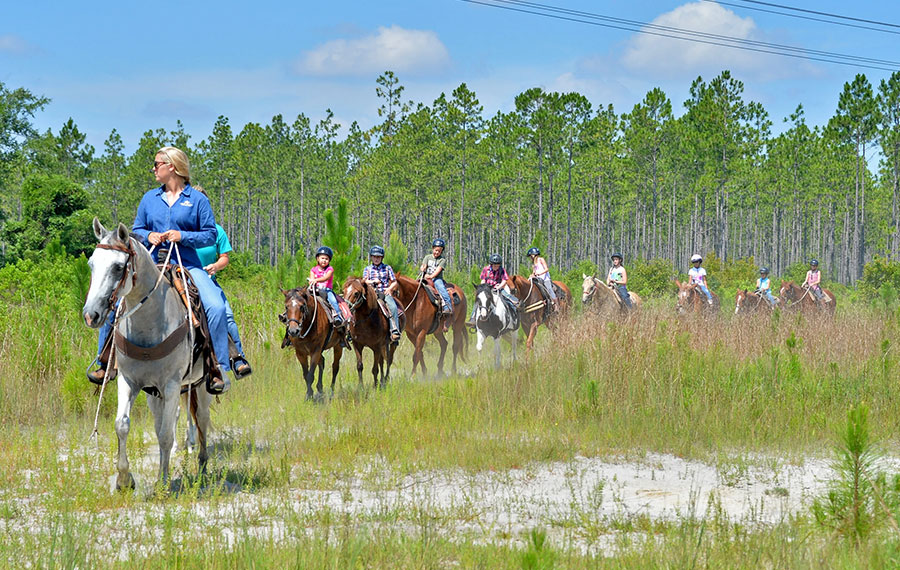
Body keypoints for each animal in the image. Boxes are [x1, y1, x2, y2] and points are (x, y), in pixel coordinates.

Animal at [81, 217, 213, 488]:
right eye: (91, 264)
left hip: (200, 385)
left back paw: (203, 468)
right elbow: (122, 425)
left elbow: (165, 435)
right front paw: (124, 480)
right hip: (155, 394)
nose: (90, 315)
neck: (149, 324)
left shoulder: (172, 385)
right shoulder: (128, 380)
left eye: (118, 267)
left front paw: (162, 482)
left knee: (202, 420)